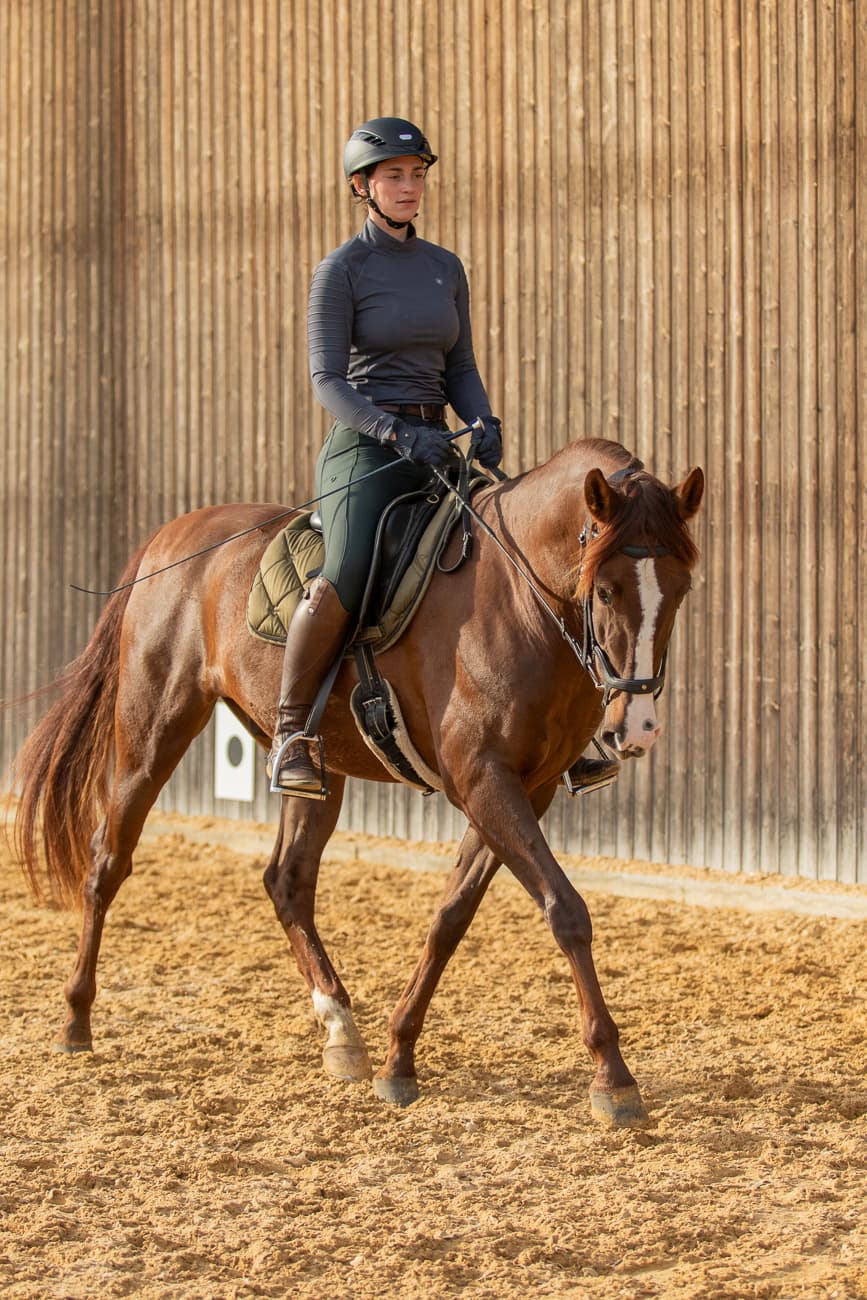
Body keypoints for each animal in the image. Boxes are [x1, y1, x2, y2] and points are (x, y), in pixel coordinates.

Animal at [10, 437, 703, 1129]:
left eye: (681, 589)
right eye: (606, 591)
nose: (636, 728)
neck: (518, 601)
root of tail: (171, 537)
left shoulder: (523, 789)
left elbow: (451, 916)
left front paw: (399, 1058)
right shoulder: (484, 779)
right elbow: (566, 911)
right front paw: (614, 1076)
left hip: (319, 769)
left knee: (287, 881)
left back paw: (342, 1031)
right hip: (153, 730)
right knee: (108, 860)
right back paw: (75, 1021)